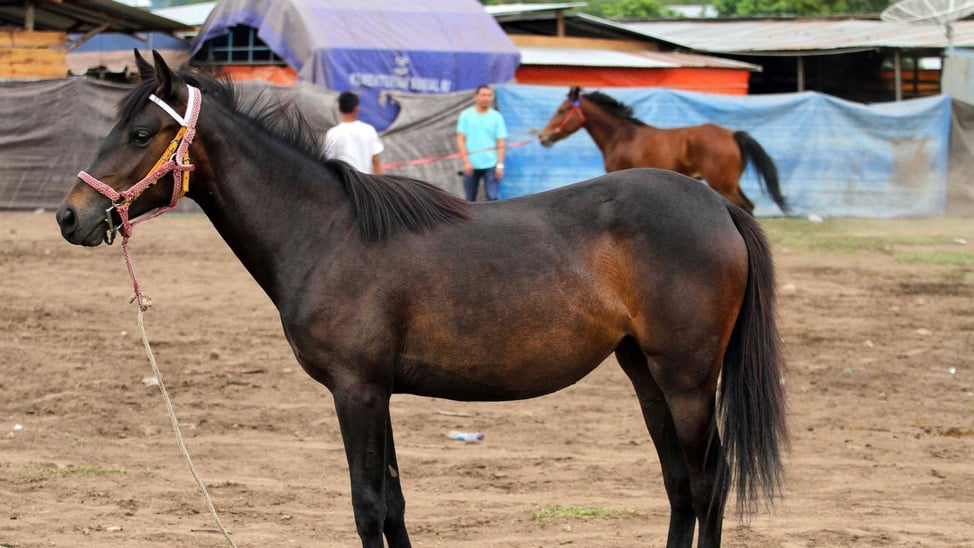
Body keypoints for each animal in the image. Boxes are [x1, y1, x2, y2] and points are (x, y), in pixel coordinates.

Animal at [536, 85, 788, 214]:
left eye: (562, 110)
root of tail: (732, 134)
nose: (543, 136)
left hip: (723, 184)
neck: (622, 136)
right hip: (731, 183)